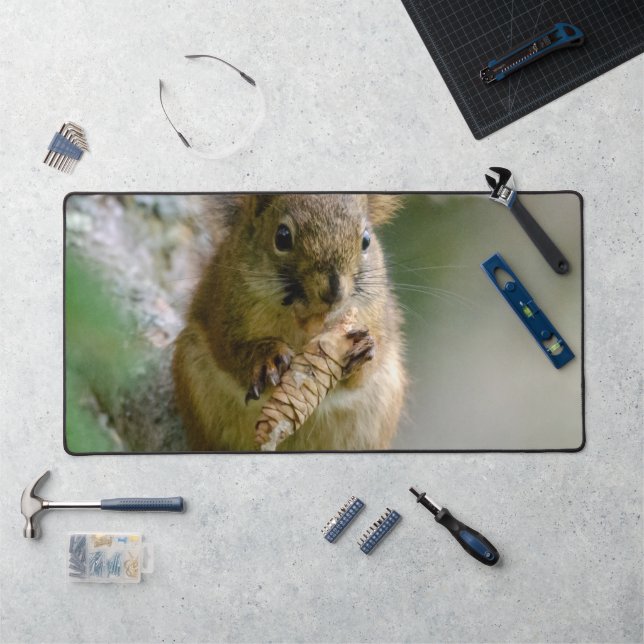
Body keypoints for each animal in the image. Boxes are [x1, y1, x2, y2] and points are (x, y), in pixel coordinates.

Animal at [172, 194, 407, 451]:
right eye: (282, 237)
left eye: (366, 240)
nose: (334, 290)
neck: (309, 319)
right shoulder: (224, 313)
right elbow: (231, 351)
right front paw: (267, 358)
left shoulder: (376, 315)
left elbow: (364, 373)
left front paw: (364, 347)